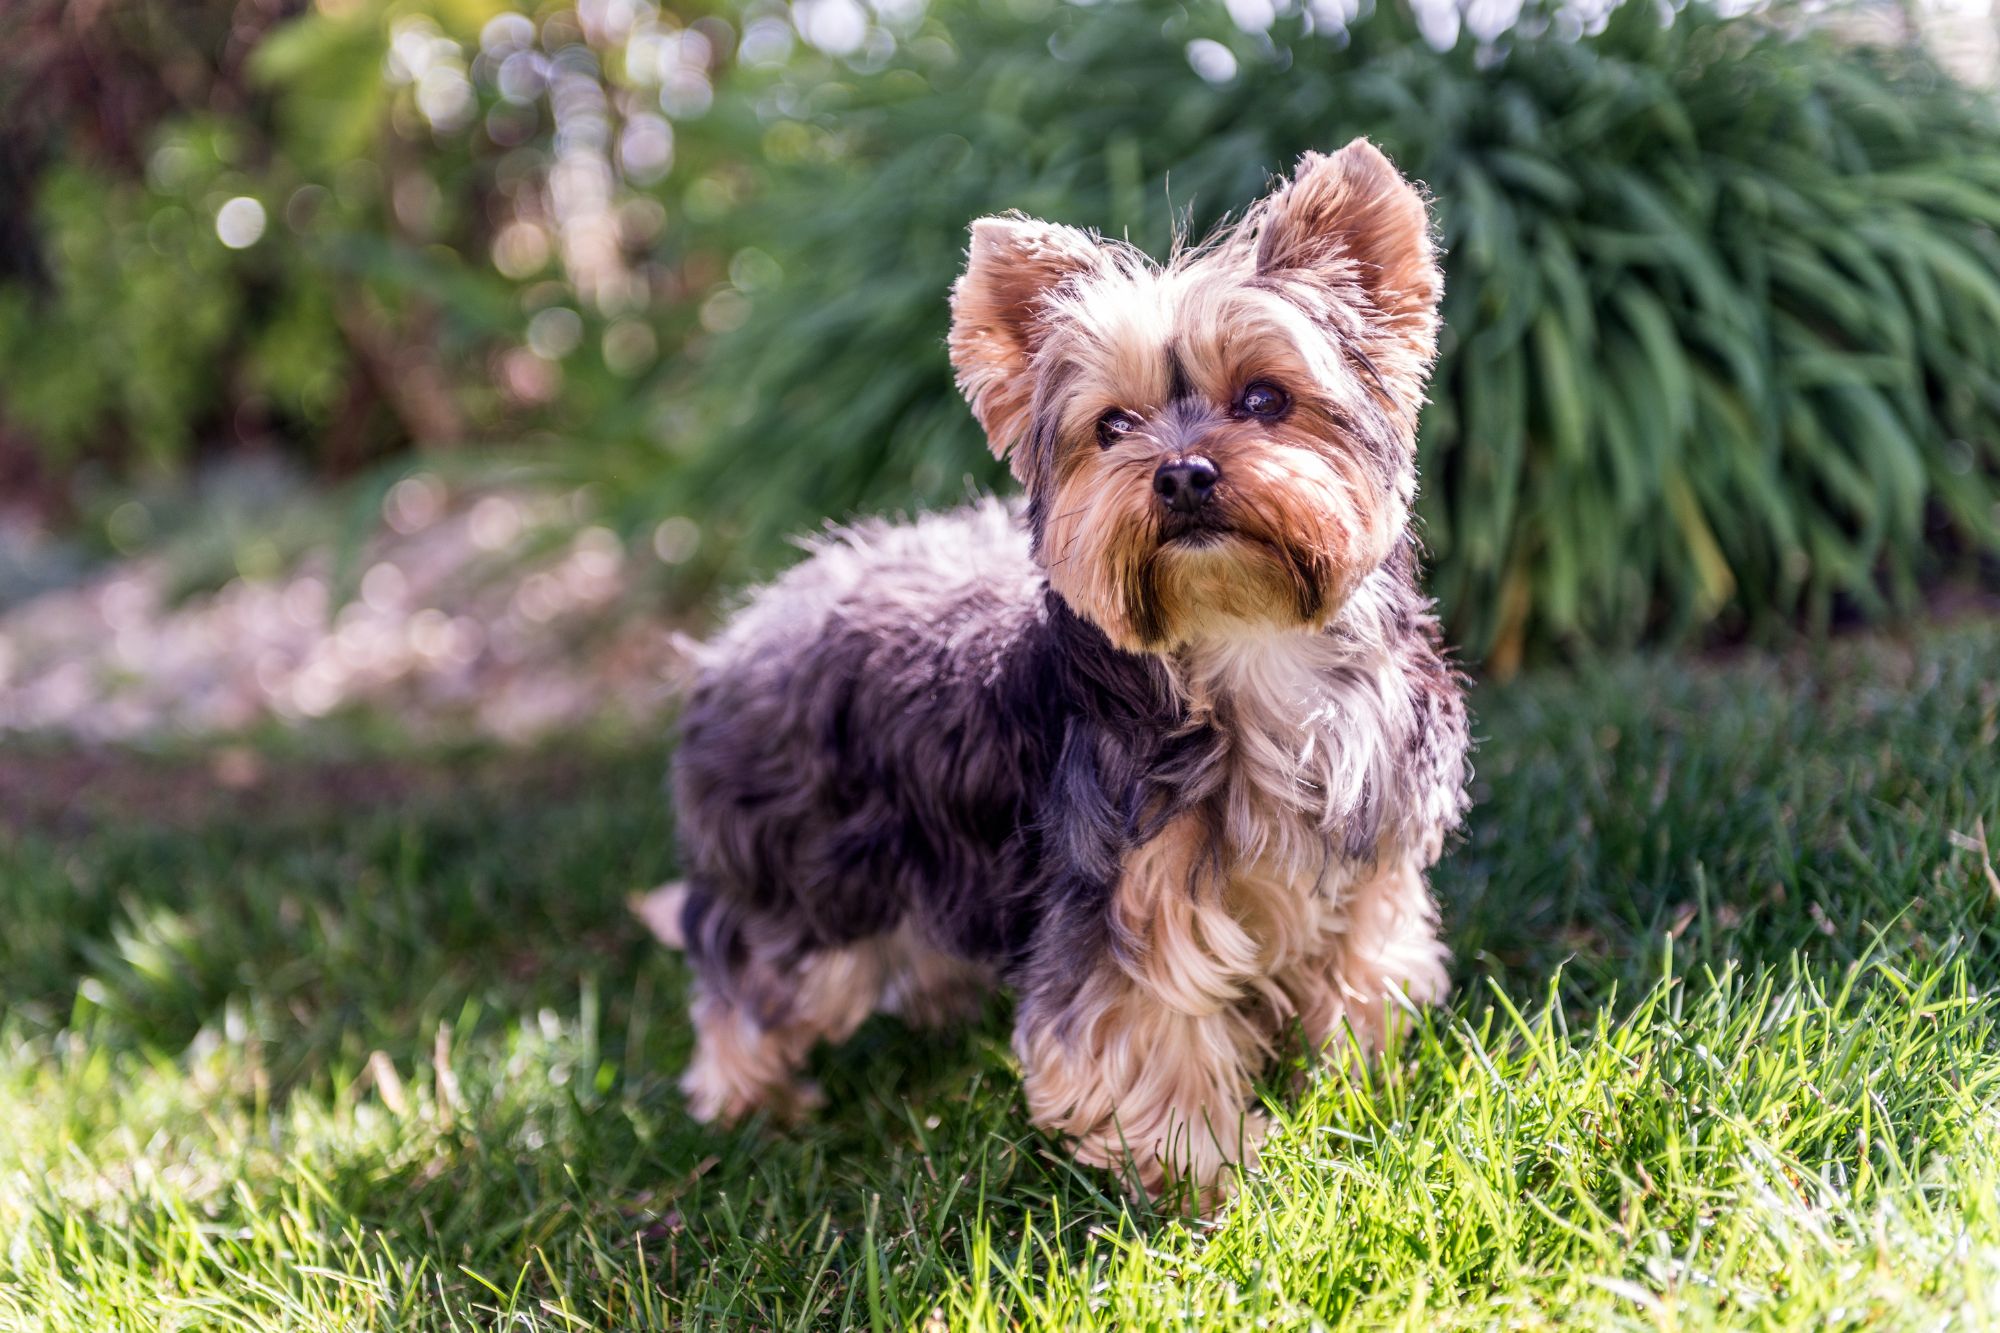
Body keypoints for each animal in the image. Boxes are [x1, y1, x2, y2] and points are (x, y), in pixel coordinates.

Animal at [640, 143, 1472, 1200]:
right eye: (1113, 426)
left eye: (1264, 399)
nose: (1182, 473)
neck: (1246, 643)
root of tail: (737, 635)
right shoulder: (1120, 894)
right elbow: (1147, 1033)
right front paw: (1204, 1177)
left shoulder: (1368, 857)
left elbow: (1363, 966)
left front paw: (1356, 1084)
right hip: (805, 870)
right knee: (746, 968)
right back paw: (748, 1101)